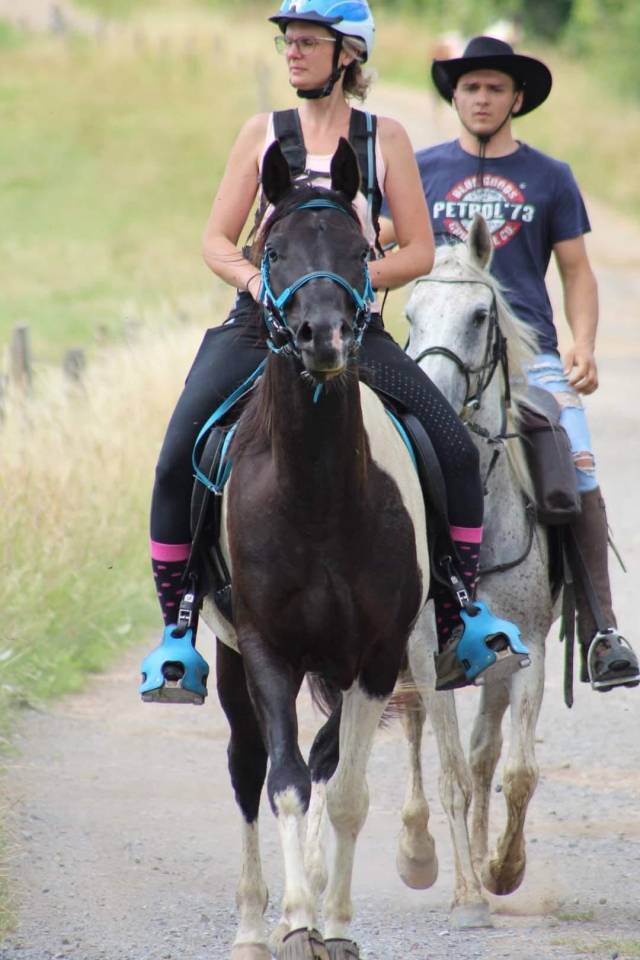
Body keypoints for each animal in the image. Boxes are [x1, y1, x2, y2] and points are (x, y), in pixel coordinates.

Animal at [203, 139, 428, 960]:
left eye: (362, 251)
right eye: (272, 251)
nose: (324, 337)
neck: (318, 499)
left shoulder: (378, 657)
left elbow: (348, 791)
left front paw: (333, 921)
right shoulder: (267, 648)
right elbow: (286, 781)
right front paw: (297, 918)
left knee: (328, 759)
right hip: (230, 655)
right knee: (247, 767)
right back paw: (249, 925)